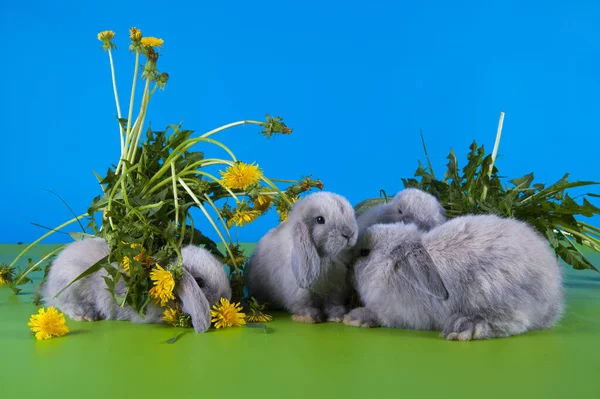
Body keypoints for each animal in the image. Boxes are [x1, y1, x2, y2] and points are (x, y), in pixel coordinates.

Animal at [246, 191, 358, 324]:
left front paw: (337, 316)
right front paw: (309, 317)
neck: (325, 257)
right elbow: (304, 304)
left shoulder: (335, 288)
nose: (349, 233)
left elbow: (333, 302)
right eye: (320, 219)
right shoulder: (300, 291)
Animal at [344, 216, 564, 340]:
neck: (391, 268)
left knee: (512, 322)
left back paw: (464, 327)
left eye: (364, 253)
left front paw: (355, 318)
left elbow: (381, 316)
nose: (348, 269)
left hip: (493, 292)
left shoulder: (397, 312)